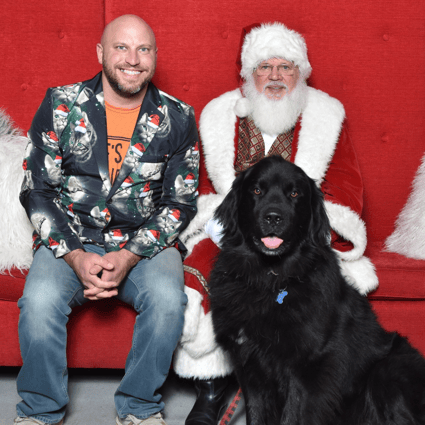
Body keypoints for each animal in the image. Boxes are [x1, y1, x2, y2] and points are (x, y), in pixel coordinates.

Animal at [209, 157, 424, 424]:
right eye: (257, 191)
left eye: (294, 194)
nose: (273, 217)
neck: (271, 280)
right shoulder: (249, 365)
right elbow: (257, 414)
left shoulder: (307, 366)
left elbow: (293, 416)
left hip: (387, 372)